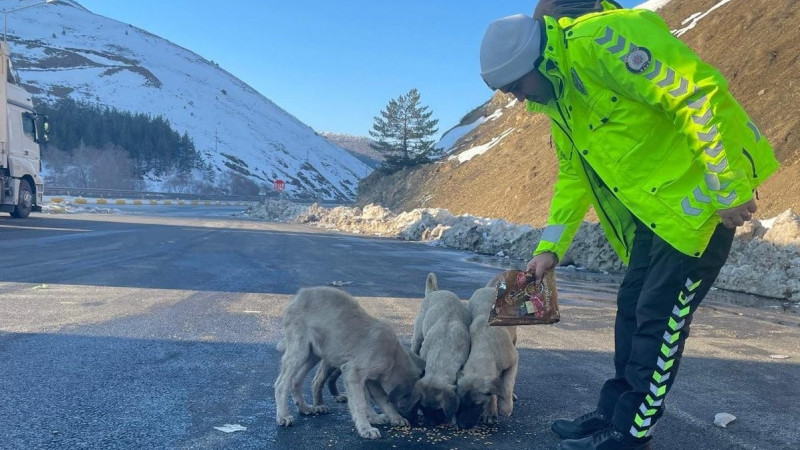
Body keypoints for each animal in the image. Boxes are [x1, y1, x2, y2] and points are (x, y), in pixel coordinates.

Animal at [276, 286, 424, 438]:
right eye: (416, 405)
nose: (416, 420)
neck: (392, 356)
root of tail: (300, 295)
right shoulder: (353, 372)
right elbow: (360, 403)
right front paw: (366, 427)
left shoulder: (370, 380)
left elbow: (380, 400)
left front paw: (386, 417)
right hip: (299, 350)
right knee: (281, 383)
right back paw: (283, 416)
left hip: (313, 354)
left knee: (297, 380)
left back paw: (304, 407)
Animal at [456, 286, 520, 428]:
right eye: (460, 402)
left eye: (476, 404)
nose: (461, 425)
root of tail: (491, 287)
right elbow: (493, 393)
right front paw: (490, 411)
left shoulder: (513, 362)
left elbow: (507, 385)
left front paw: (505, 407)